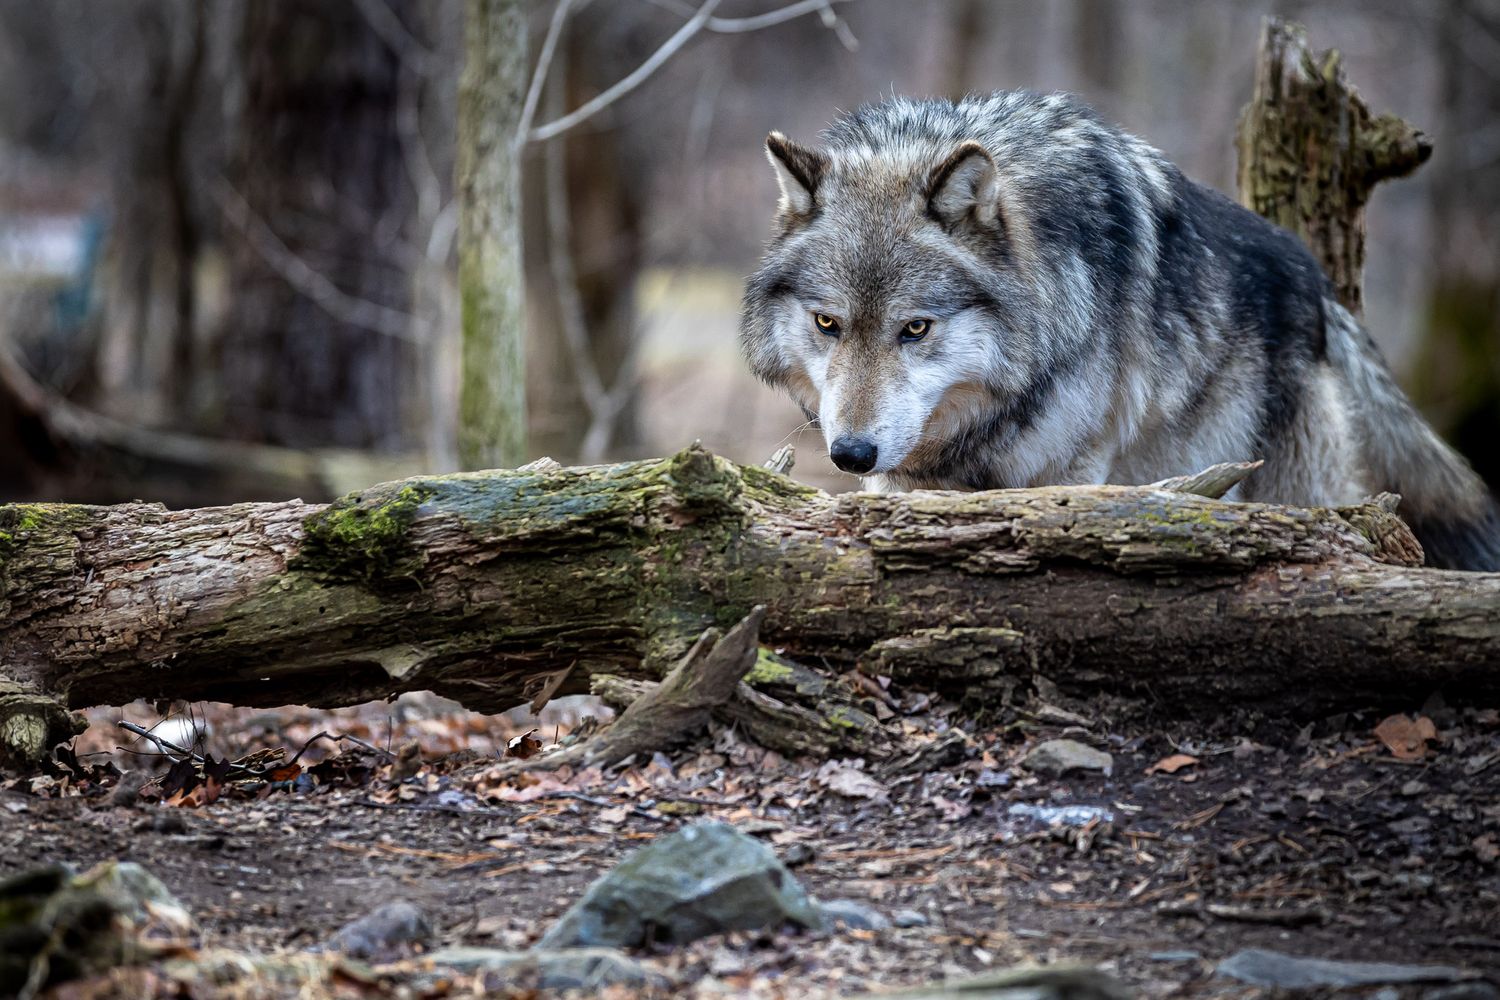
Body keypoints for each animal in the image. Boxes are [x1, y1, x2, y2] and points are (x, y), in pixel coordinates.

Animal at [739, 91, 1500, 571]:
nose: (851, 454)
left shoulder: (1071, 475)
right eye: (828, 323)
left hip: (1291, 485)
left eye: (916, 328)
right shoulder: (904, 489)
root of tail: (1313, 277)